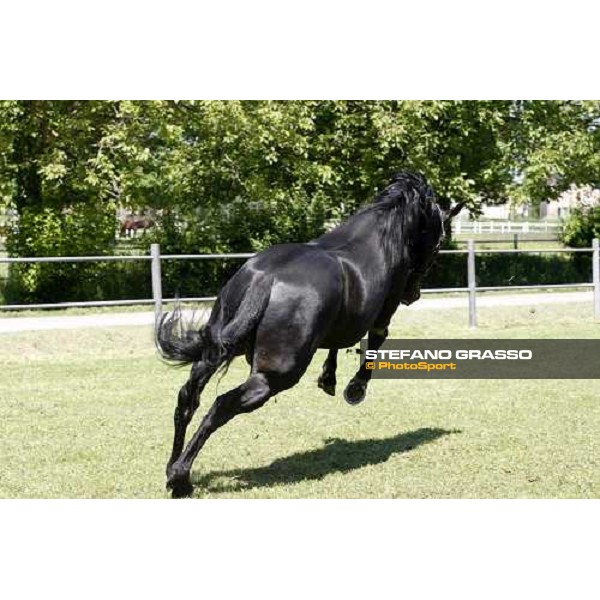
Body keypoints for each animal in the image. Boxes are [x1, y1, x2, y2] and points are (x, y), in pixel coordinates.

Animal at [157, 171, 462, 500]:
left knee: (188, 398)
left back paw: (172, 467)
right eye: (438, 241)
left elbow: (337, 344)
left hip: (217, 348)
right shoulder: (383, 315)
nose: (412, 296)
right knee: (221, 405)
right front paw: (354, 388)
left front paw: (328, 378)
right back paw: (180, 478)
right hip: (274, 376)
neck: (378, 236)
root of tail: (266, 278)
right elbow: (372, 347)